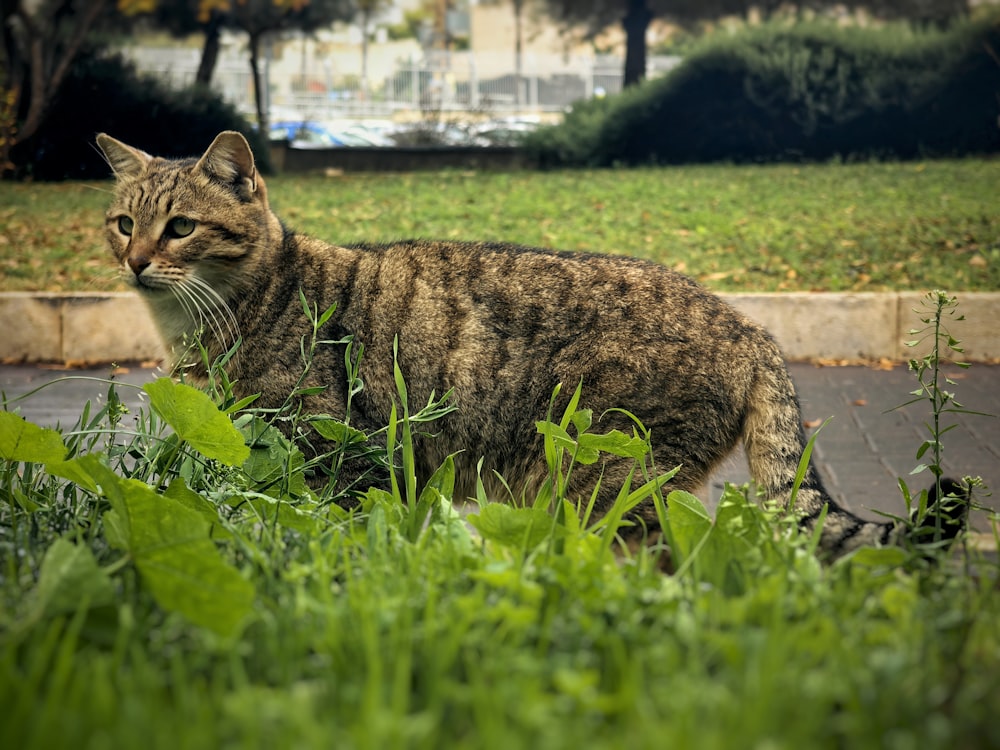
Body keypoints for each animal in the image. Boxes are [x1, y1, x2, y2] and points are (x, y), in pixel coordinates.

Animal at [97, 132, 964, 560]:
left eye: (181, 227)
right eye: (122, 222)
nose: (136, 261)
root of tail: (749, 325)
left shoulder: (333, 461)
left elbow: (327, 538)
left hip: (597, 479)